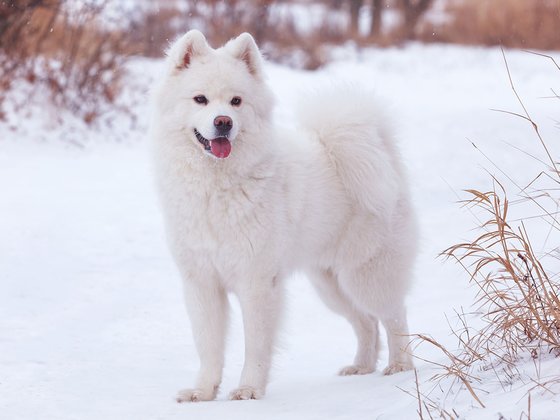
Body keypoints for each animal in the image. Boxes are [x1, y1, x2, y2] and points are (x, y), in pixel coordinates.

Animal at [151, 31, 418, 402]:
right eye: (200, 99)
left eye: (236, 101)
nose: (223, 123)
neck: (216, 187)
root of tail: (382, 152)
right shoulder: (202, 283)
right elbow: (209, 346)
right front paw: (203, 392)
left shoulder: (258, 282)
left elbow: (255, 345)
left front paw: (248, 389)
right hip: (330, 284)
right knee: (366, 323)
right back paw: (361, 367)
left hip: (365, 276)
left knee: (395, 316)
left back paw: (400, 366)